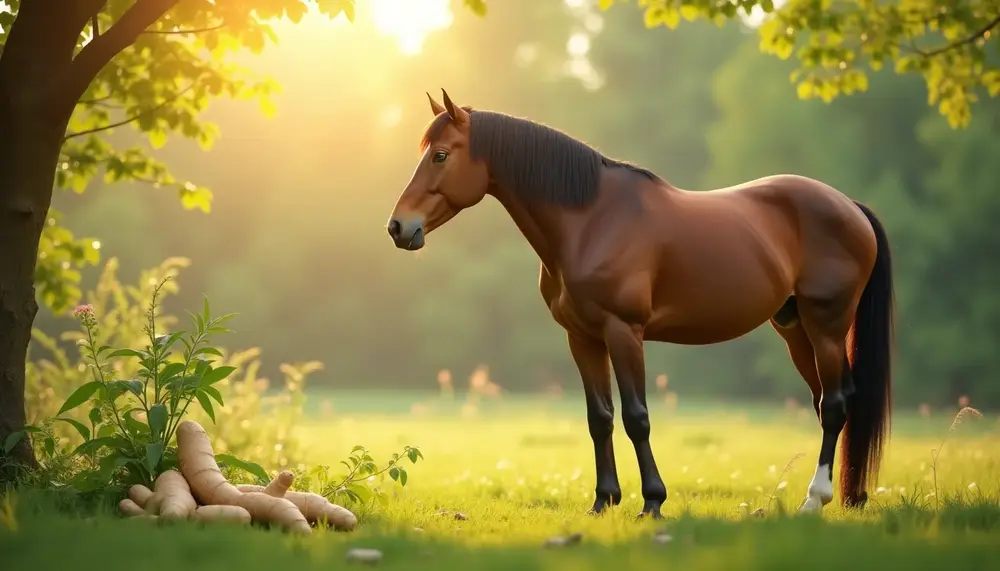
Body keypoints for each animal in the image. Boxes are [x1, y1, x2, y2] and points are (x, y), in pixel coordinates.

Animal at [386, 88, 896, 520]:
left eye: (441, 155)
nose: (398, 226)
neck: (592, 220)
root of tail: (849, 206)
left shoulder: (623, 331)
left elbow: (637, 417)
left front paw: (652, 502)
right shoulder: (583, 338)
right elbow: (600, 418)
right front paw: (603, 501)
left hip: (826, 324)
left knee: (835, 404)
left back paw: (815, 500)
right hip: (794, 327)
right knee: (828, 401)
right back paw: (849, 497)